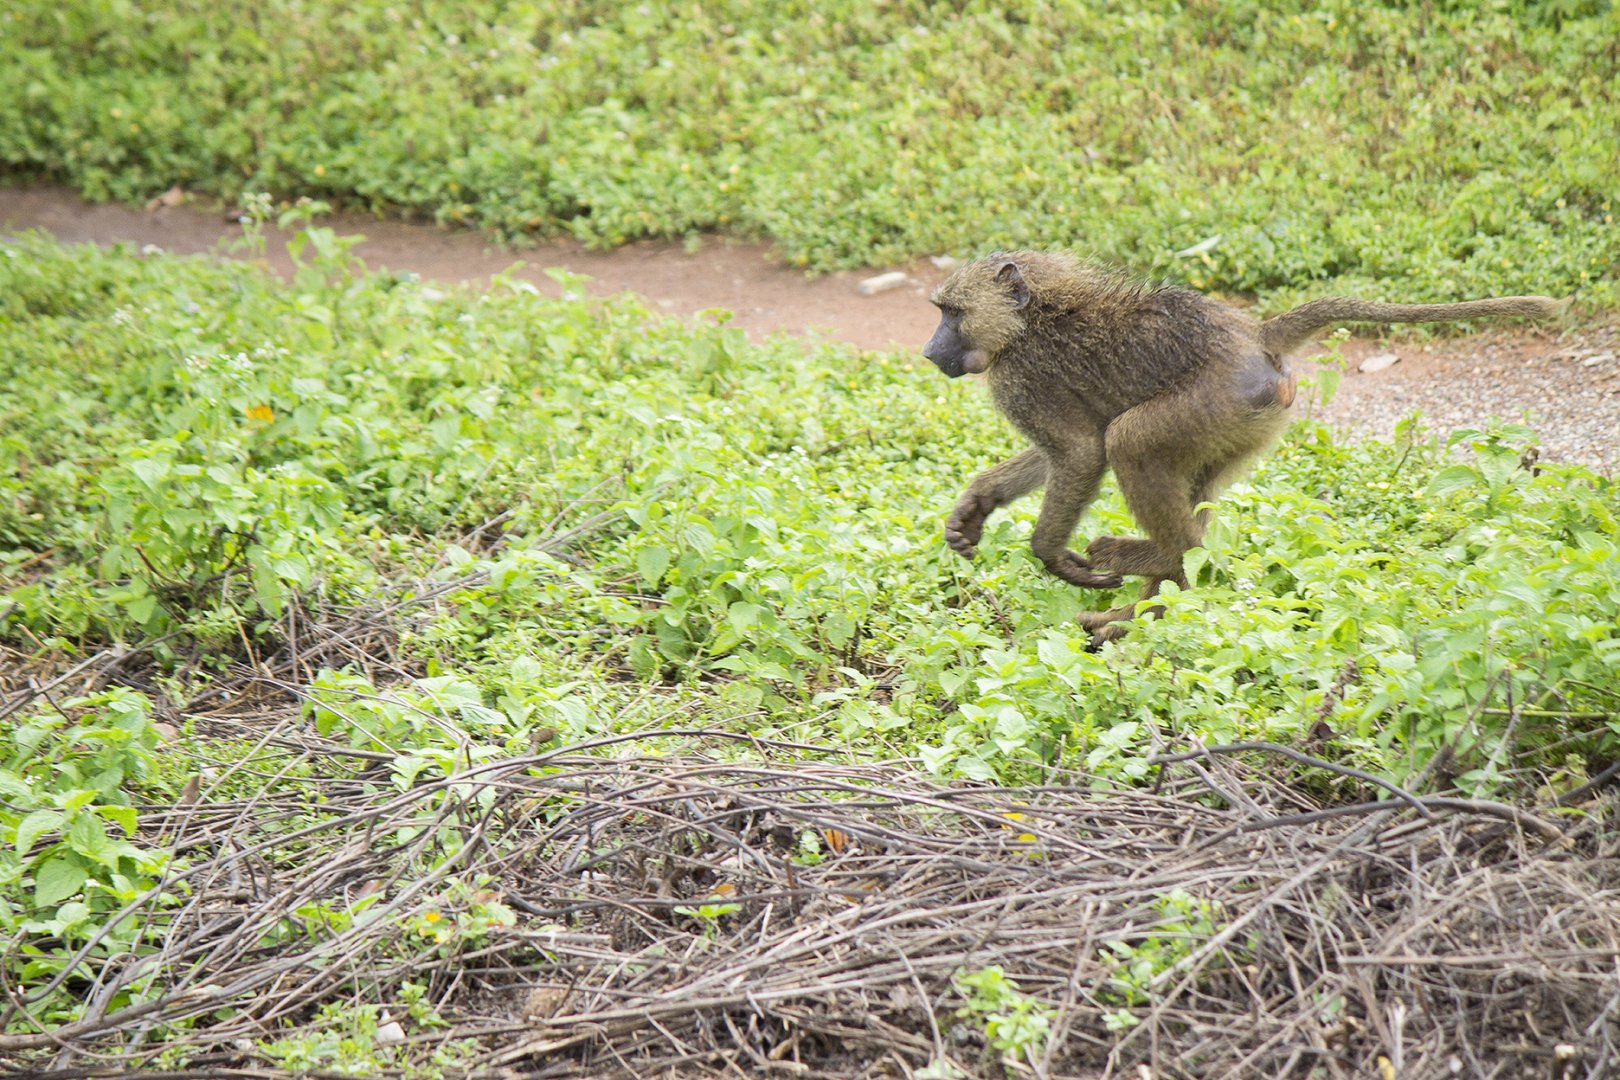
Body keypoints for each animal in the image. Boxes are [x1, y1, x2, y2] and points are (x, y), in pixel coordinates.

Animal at [923, 251, 1559, 644]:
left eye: (953, 313)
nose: (930, 352)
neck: (1032, 318)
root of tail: (1255, 336)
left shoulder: (1019, 378)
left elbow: (1083, 450)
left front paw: (1053, 557)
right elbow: (1070, 450)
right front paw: (974, 508)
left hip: (1216, 399)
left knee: (1129, 442)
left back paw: (1156, 566)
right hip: (1245, 421)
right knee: (1189, 489)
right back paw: (1144, 611)